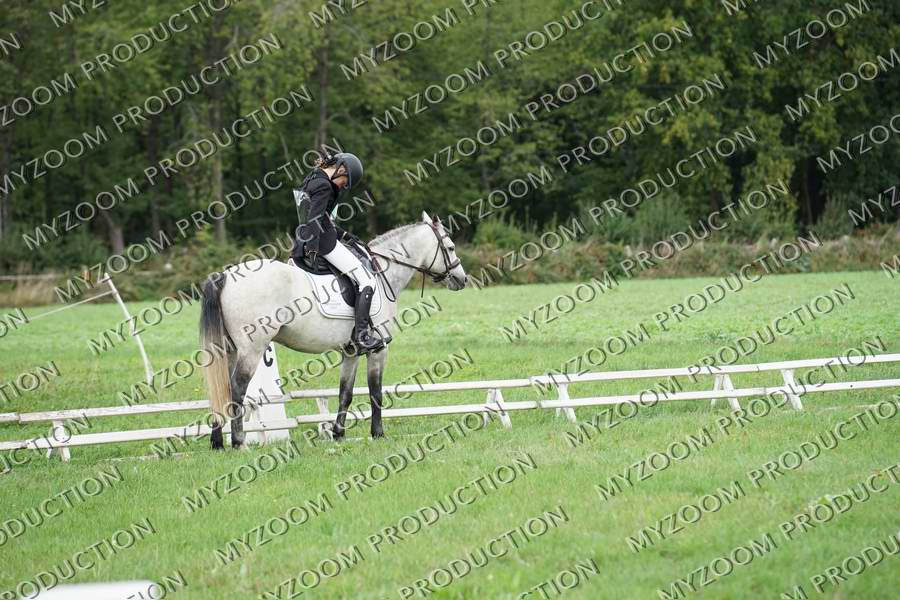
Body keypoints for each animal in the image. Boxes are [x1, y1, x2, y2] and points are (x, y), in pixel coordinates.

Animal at [199, 212, 468, 449]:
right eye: (451, 248)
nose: (462, 279)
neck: (383, 271)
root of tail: (225, 275)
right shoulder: (379, 349)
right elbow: (375, 391)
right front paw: (378, 434)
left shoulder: (351, 351)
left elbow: (345, 393)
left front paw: (338, 434)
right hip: (253, 349)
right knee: (237, 389)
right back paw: (239, 442)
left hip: (229, 349)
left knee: (221, 387)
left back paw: (217, 442)